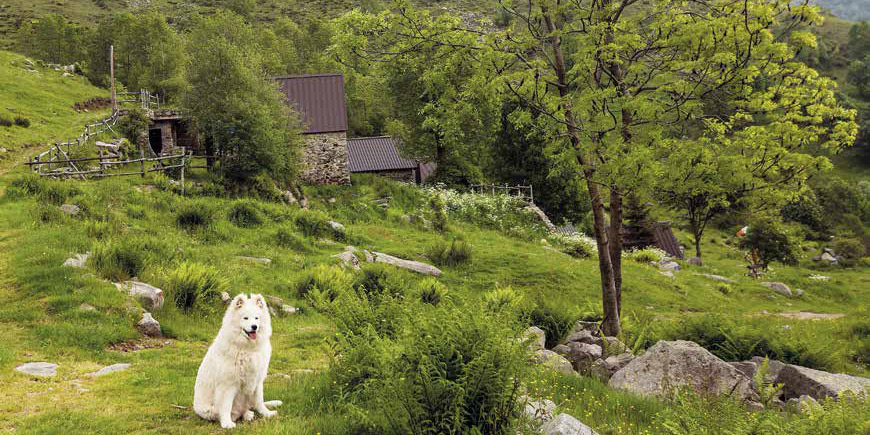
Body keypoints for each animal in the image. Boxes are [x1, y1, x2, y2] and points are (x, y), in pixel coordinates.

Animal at [194, 292, 282, 430]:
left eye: (256, 318)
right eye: (245, 318)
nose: (254, 327)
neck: (248, 348)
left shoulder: (257, 380)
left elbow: (259, 400)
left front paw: (267, 414)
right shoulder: (228, 385)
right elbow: (226, 406)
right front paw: (227, 423)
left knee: (248, 408)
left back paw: (249, 414)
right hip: (209, 410)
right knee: (232, 413)